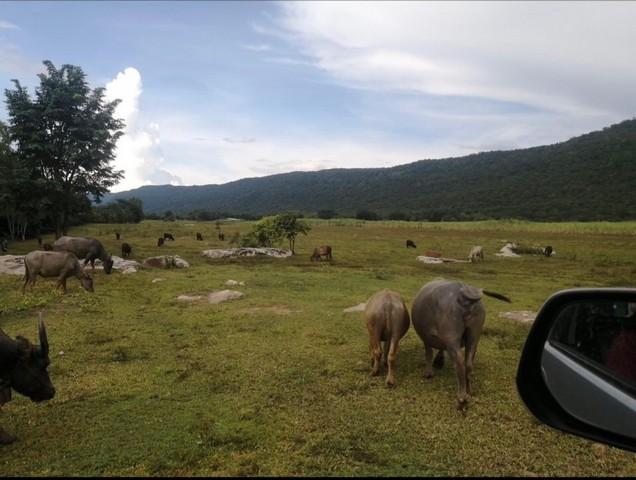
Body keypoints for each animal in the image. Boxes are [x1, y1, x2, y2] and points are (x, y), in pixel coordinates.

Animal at [412, 278, 512, 408]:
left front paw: (428, 373)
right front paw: (439, 361)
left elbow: (428, 353)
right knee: (468, 362)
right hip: (475, 334)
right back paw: (469, 391)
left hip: (451, 336)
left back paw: (461, 398)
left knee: (459, 362)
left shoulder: (426, 338)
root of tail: (464, 291)